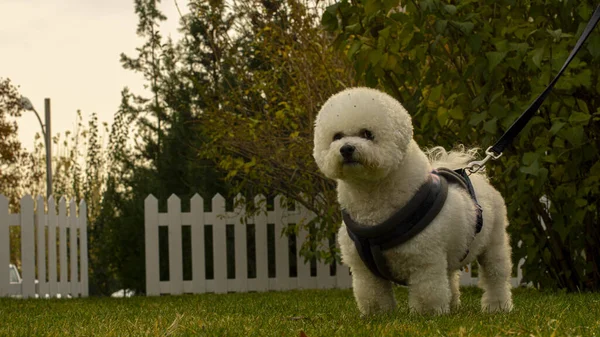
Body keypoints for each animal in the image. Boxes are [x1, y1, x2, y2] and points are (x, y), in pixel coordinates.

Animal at [312, 86, 512, 316]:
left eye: (367, 134)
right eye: (337, 136)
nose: (346, 148)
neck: (372, 202)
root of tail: (476, 177)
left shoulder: (424, 259)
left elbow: (427, 291)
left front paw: (428, 314)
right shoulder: (363, 269)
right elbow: (372, 293)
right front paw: (377, 314)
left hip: (494, 241)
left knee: (496, 275)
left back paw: (497, 306)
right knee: (450, 276)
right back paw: (454, 304)